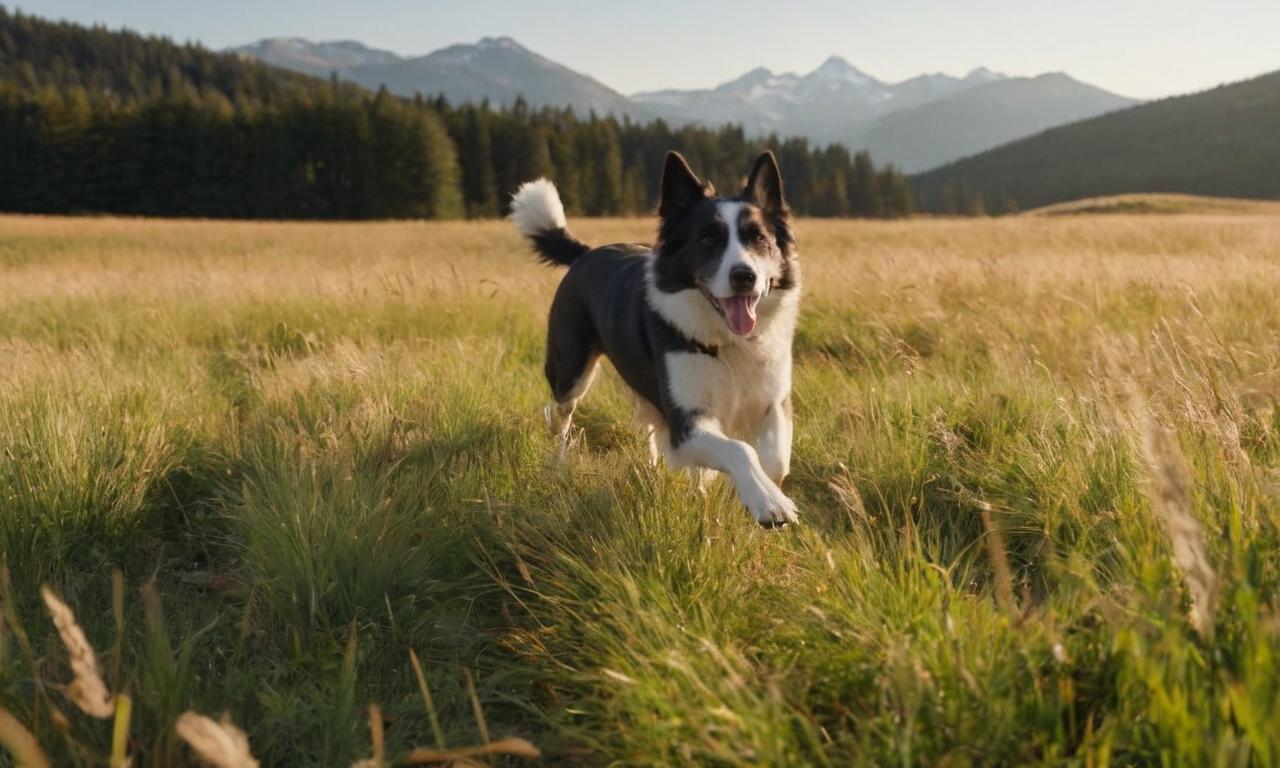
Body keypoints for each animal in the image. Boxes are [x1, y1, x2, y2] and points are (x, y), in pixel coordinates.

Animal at [509, 149, 798, 524]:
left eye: (758, 238)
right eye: (707, 240)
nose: (744, 276)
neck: (728, 343)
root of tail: (586, 252)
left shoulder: (772, 400)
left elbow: (775, 460)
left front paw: (759, 492)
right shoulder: (685, 422)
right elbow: (739, 449)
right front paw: (767, 502)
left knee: (647, 425)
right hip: (571, 372)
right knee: (559, 415)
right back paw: (559, 465)